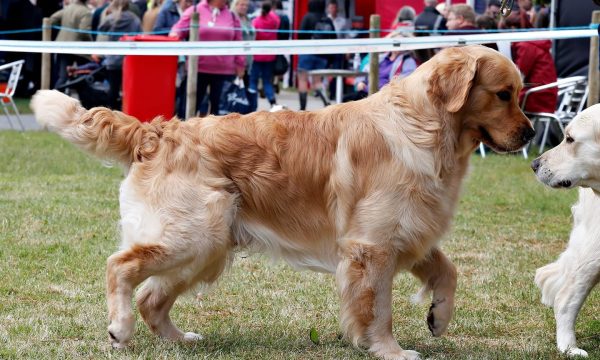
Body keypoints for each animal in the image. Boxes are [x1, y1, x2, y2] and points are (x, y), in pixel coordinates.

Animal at [30, 45, 532, 360]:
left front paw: (438, 318)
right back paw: (120, 327)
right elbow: (378, 309)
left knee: (152, 297)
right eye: (503, 94)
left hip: (209, 247)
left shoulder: (408, 231)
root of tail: (156, 130)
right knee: (120, 266)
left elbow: (449, 270)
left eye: (519, 95)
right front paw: (389, 350)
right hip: (195, 234)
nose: (530, 135)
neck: (424, 127)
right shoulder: (372, 246)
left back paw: (179, 338)